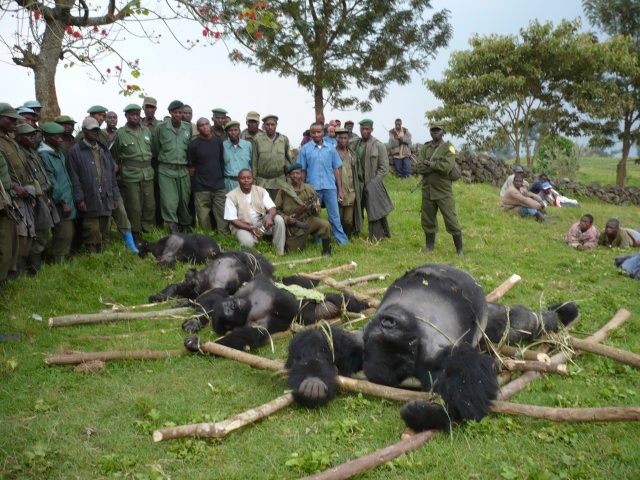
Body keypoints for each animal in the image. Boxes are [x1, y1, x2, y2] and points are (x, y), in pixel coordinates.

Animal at [182, 276, 368, 350]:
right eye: (230, 311)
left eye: (231, 306)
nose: (234, 305)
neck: (249, 305)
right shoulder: (257, 322)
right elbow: (249, 335)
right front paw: (198, 344)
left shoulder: (244, 290)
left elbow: (217, 294)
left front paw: (194, 323)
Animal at [284, 264, 580, 434]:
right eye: (402, 354)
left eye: (403, 344)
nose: (388, 324)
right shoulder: (365, 345)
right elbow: (320, 341)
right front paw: (313, 382)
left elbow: (465, 369)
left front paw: (441, 414)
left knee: (519, 323)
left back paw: (560, 315)